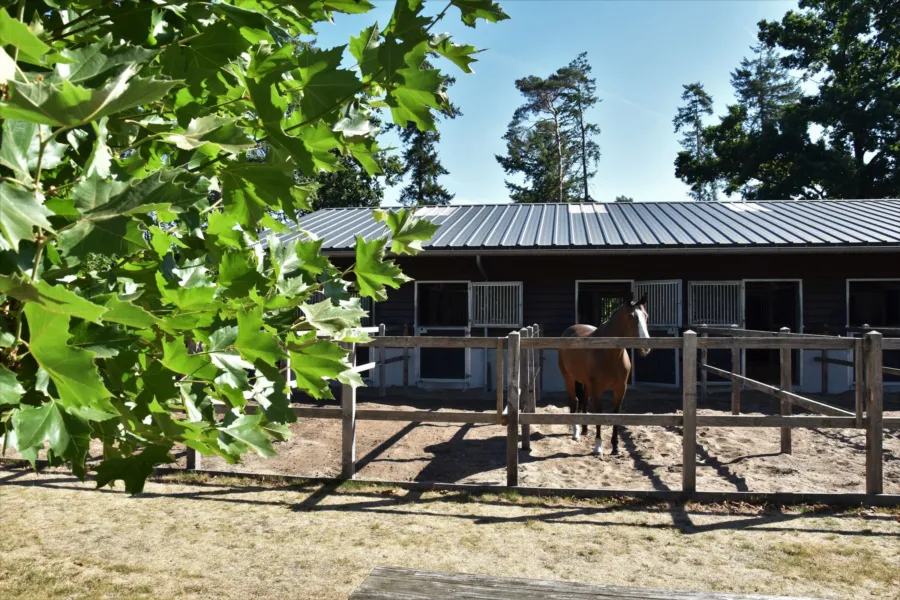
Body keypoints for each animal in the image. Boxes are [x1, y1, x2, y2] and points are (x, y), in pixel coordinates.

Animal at [560, 298, 652, 458]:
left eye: (645, 316)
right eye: (630, 316)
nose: (645, 347)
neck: (610, 353)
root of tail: (570, 330)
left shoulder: (620, 389)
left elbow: (615, 414)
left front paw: (615, 448)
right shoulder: (598, 389)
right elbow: (599, 413)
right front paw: (598, 447)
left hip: (586, 383)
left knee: (584, 400)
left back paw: (584, 430)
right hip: (569, 378)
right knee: (574, 400)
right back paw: (576, 433)